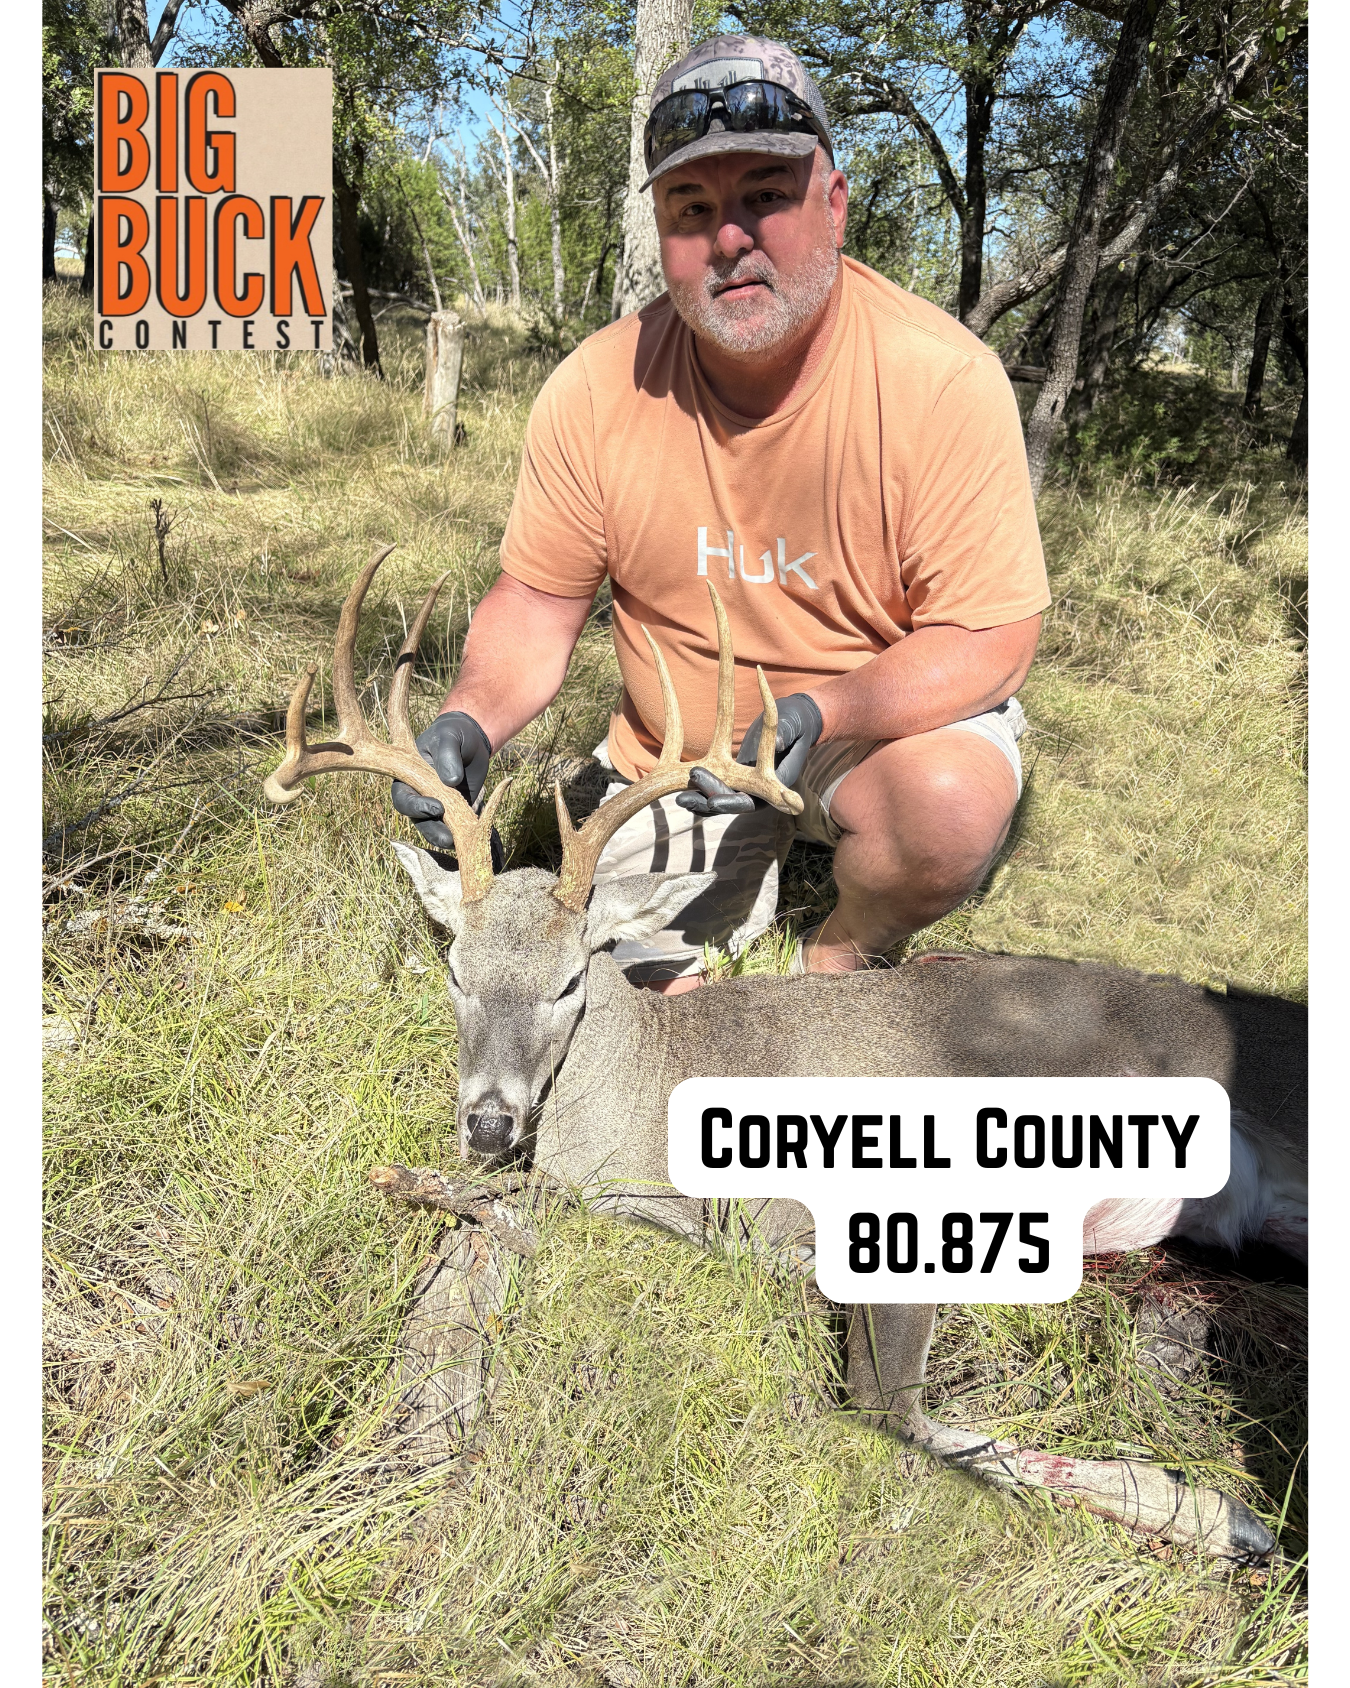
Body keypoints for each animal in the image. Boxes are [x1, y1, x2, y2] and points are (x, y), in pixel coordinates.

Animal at [264, 548, 1306, 1562]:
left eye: (569, 981)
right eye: (456, 969)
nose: (487, 1122)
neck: (650, 1089)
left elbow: (887, 1406)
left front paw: (1217, 1511)